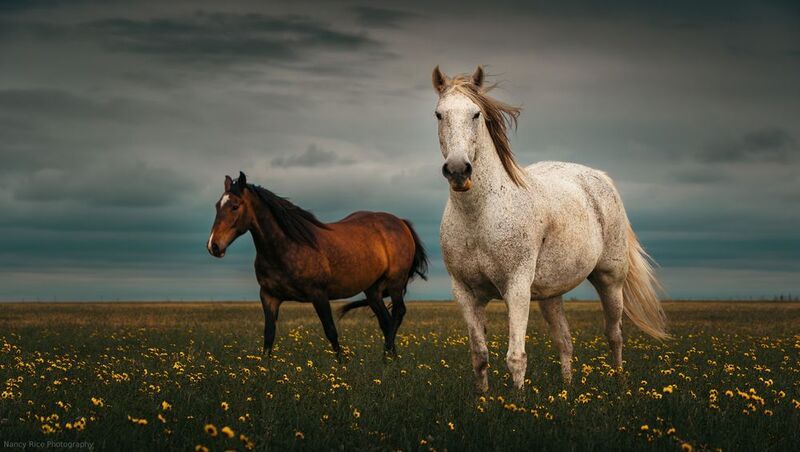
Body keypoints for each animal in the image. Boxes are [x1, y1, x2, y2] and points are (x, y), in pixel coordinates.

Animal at [207, 172, 428, 358]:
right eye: (217, 205)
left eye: (235, 206)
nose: (213, 246)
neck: (287, 246)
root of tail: (400, 222)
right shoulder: (269, 297)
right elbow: (268, 336)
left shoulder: (319, 294)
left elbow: (331, 331)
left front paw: (342, 367)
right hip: (373, 290)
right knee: (386, 321)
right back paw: (391, 360)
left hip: (395, 282)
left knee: (398, 314)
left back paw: (386, 358)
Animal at [431, 66, 668, 392]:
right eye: (439, 114)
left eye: (476, 114)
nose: (457, 170)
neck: (479, 215)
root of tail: (599, 177)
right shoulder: (464, 292)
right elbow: (479, 356)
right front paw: (483, 399)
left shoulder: (516, 287)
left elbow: (515, 357)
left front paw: (516, 401)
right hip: (550, 295)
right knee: (565, 342)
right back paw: (567, 390)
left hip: (610, 281)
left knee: (615, 335)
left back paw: (620, 384)